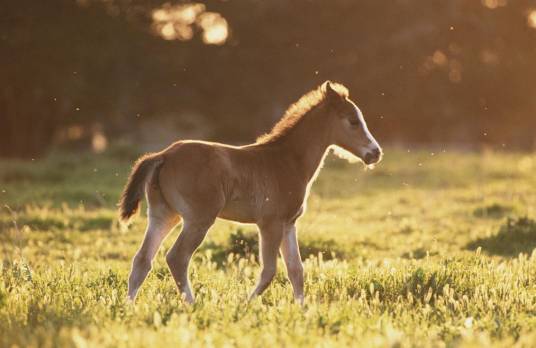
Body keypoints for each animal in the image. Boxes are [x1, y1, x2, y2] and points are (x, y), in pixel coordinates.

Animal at [120, 80, 384, 304]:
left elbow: (296, 270)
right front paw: (245, 305)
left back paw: (129, 306)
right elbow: (269, 271)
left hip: (163, 215)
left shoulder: (289, 224)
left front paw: (302, 310)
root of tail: (163, 155)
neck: (287, 161)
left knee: (142, 260)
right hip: (198, 219)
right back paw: (192, 304)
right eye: (353, 120)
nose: (375, 153)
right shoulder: (270, 223)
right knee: (177, 258)